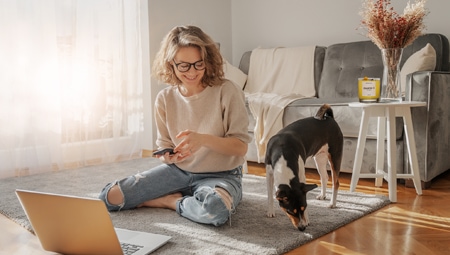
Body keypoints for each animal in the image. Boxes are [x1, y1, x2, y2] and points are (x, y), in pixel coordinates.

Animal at [266, 103, 342, 231]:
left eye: (304, 207)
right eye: (290, 212)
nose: (302, 228)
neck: (283, 151)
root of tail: (329, 118)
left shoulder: (301, 176)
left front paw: (307, 220)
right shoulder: (269, 173)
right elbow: (270, 195)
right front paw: (270, 212)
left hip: (335, 156)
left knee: (335, 182)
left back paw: (332, 203)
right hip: (320, 158)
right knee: (324, 177)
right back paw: (323, 195)